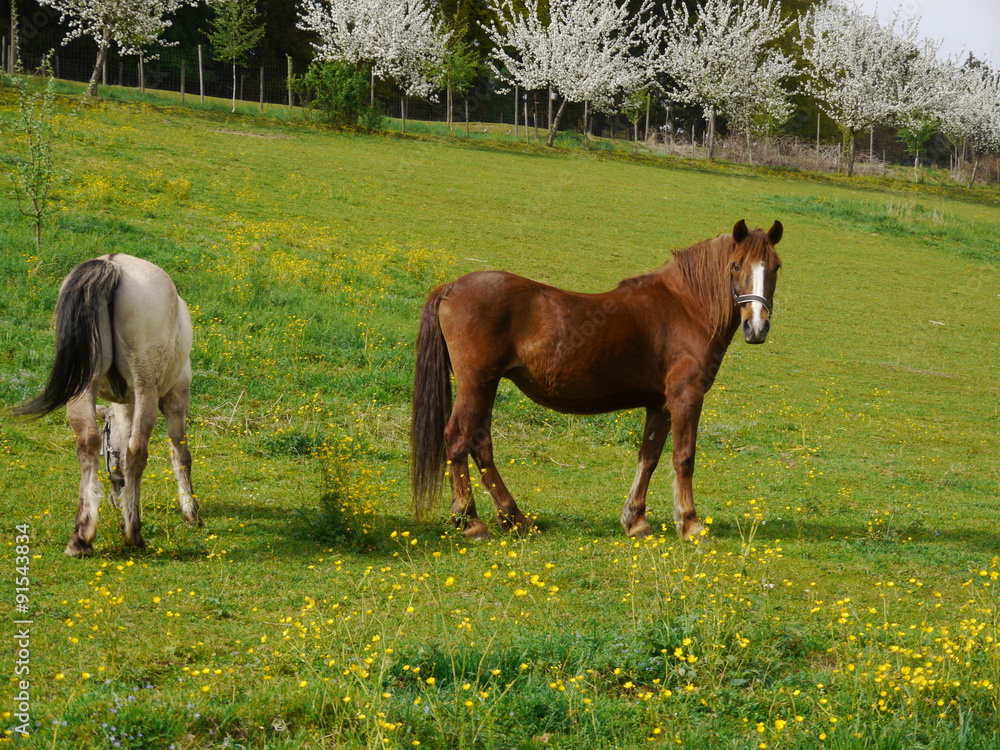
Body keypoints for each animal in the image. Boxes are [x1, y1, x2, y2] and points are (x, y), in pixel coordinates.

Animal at [14, 253, 200, 557]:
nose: (115, 499)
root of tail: (113, 263)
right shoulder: (177, 396)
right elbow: (180, 455)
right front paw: (191, 513)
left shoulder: (124, 403)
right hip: (145, 387)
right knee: (137, 450)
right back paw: (133, 532)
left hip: (83, 386)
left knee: (86, 443)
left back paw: (81, 537)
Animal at [411, 219, 782, 541]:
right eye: (736, 266)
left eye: (775, 267)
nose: (757, 328)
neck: (684, 308)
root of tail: (451, 287)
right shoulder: (685, 397)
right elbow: (684, 457)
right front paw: (690, 524)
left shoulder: (659, 405)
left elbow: (648, 457)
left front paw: (635, 520)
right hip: (477, 384)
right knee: (458, 439)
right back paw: (471, 522)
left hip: (486, 386)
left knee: (480, 443)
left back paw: (514, 519)